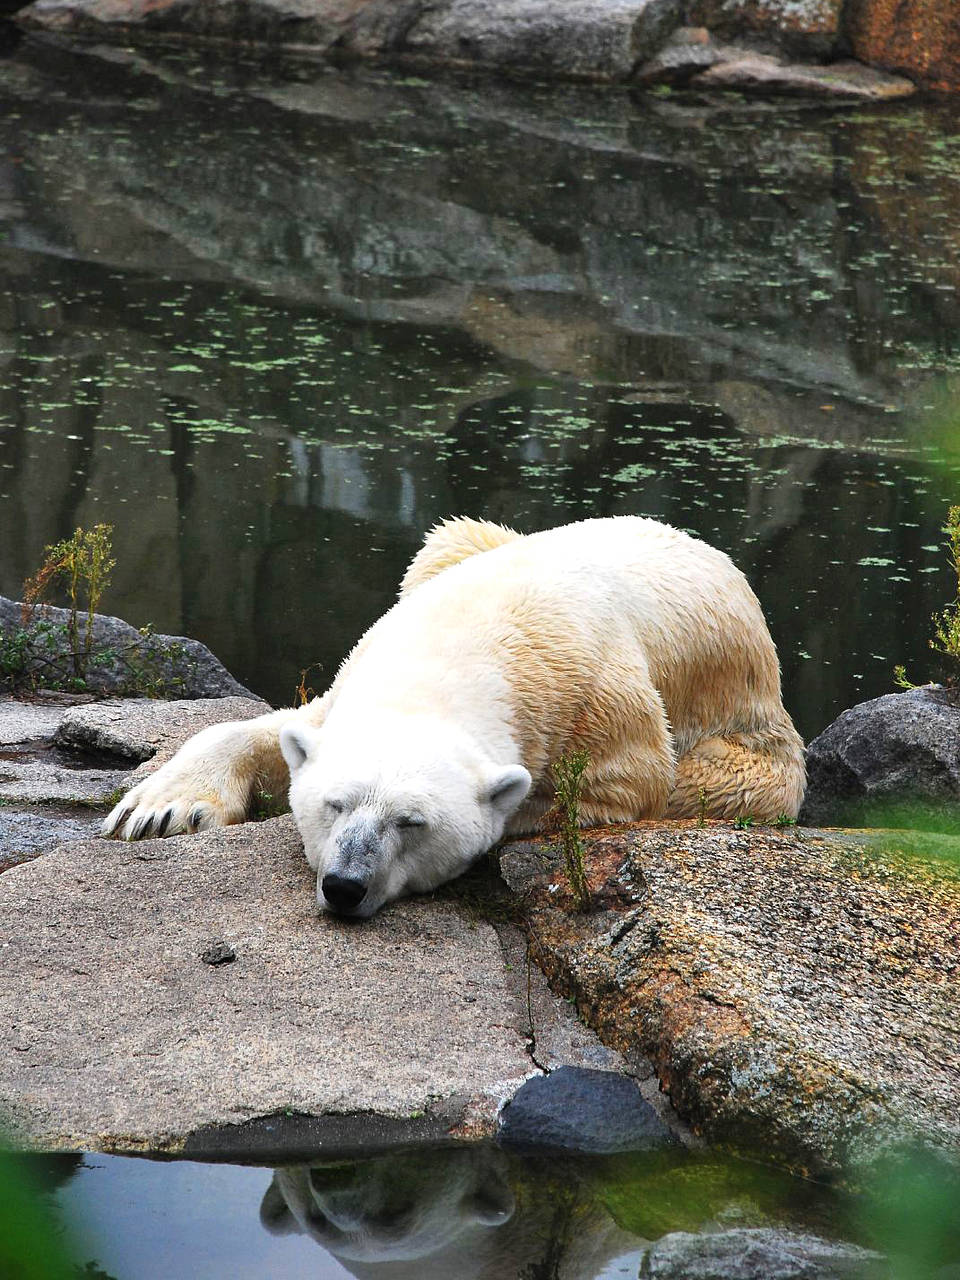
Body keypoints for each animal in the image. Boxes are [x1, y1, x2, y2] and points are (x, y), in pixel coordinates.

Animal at [103, 516, 805, 918]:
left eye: (411, 823)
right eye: (335, 804)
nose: (346, 886)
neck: (462, 651)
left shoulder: (601, 700)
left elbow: (631, 779)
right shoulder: (363, 667)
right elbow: (281, 728)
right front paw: (158, 809)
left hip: (745, 727)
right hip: (453, 545)